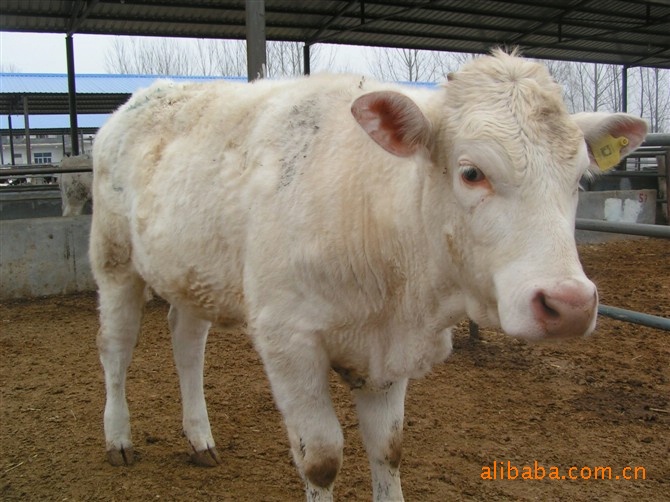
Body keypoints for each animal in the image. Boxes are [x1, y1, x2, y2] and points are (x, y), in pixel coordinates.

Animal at [92, 52, 648, 502]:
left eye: (581, 179)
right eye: (471, 172)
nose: (570, 304)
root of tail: (144, 97)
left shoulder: (389, 354)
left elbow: (388, 448)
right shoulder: (287, 341)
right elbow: (321, 459)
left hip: (191, 273)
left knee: (187, 343)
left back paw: (200, 438)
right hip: (114, 261)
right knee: (116, 347)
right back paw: (118, 438)